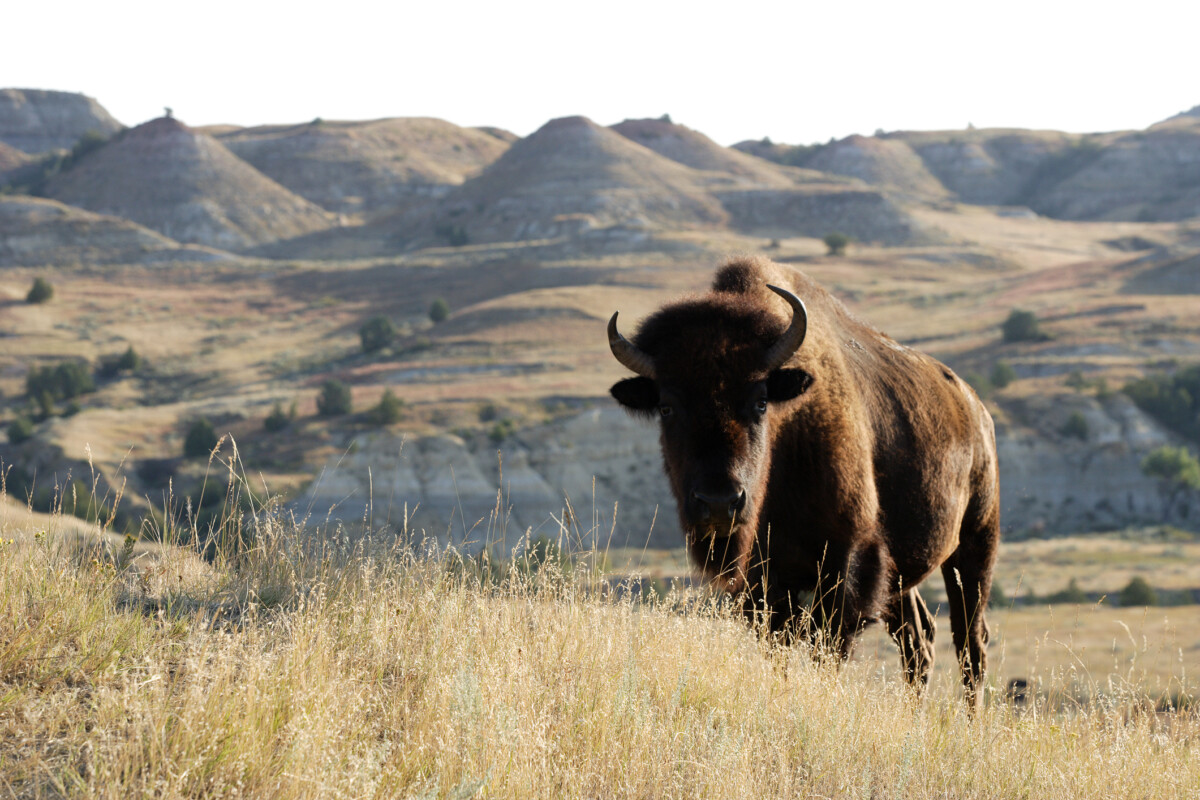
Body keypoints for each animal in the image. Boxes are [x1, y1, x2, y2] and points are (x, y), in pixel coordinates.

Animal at [609, 257, 1003, 705]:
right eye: (666, 407)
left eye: (761, 402)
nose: (719, 503)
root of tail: (976, 409)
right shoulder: (763, 586)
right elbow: (778, 649)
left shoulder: (846, 567)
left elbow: (825, 651)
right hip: (904, 574)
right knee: (919, 640)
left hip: (975, 545)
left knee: (970, 641)